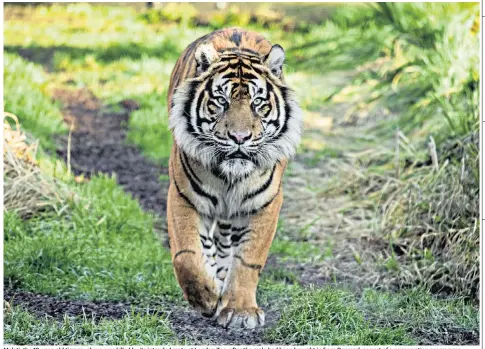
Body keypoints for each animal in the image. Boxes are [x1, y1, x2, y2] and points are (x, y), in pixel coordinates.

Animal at [167, 27, 302, 328]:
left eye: (257, 103)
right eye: (221, 101)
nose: (240, 138)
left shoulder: (265, 203)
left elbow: (247, 259)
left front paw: (240, 311)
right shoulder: (183, 196)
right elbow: (187, 256)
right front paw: (207, 298)